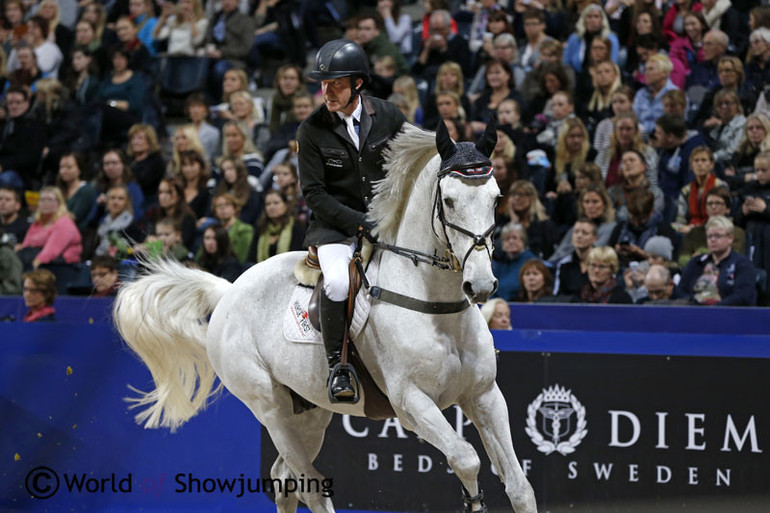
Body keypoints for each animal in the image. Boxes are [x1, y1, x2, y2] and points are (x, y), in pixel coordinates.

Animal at [112, 122, 536, 510]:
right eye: (448, 200)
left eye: (496, 198)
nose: (480, 285)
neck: (436, 307)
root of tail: (229, 290)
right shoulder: (412, 403)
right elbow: (465, 458)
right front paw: (473, 498)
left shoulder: (484, 396)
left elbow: (519, 485)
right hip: (271, 409)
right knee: (309, 485)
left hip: (310, 411)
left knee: (286, 479)